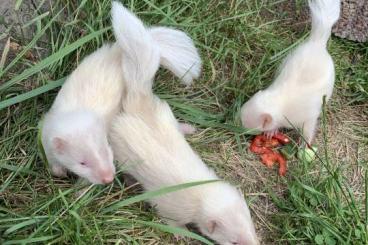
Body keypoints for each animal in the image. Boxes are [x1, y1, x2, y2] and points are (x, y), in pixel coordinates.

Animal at [41, 1, 201, 184]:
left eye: (106, 148)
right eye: (82, 162)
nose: (108, 178)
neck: (76, 111)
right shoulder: (47, 136)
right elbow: (51, 158)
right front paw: (59, 171)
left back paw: (187, 128)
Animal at [109, 2, 258, 244]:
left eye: (251, 227)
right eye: (233, 240)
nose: (257, 241)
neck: (202, 190)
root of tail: (137, 102)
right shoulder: (171, 204)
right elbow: (170, 218)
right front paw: (181, 233)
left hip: (165, 115)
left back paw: (187, 128)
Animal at [240, 0, 340, 144]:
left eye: (247, 126)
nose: (234, 127)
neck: (277, 101)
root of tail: (317, 44)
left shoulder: (307, 113)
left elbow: (308, 127)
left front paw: (305, 144)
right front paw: (271, 132)